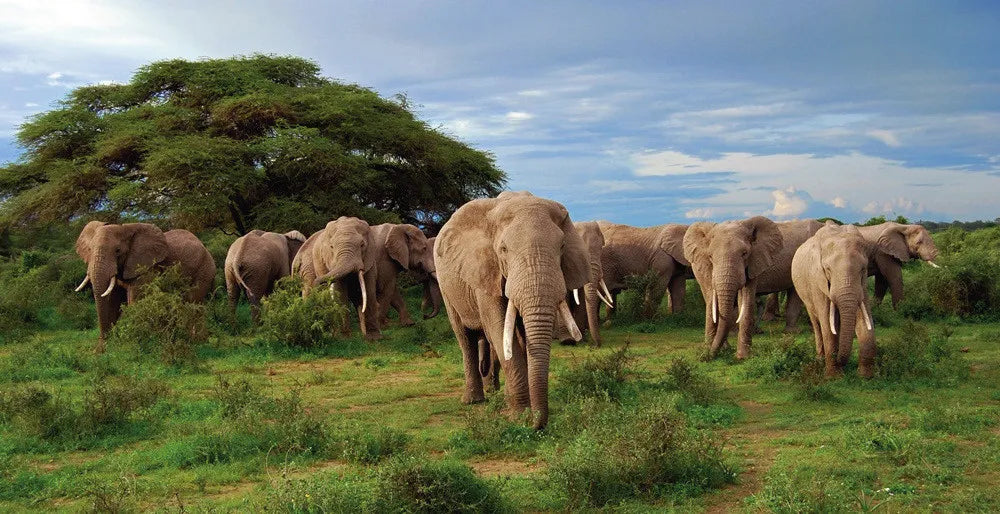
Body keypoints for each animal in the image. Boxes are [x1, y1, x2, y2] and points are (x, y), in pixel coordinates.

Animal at [74, 221, 215, 351]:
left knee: (194, 301)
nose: (100, 349)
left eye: (118, 250)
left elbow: (135, 301)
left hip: (204, 269)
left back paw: (197, 341)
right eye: (89, 250)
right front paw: (102, 350)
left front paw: (135, 345)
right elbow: (113, 302)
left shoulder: (146, 267)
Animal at [435, 191, 590, 429]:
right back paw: (473, 400)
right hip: (446, 286)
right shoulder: (486, 270)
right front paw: (519, 416)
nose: (537, 425)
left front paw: (523, 412)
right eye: (503, 250)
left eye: (562, 246)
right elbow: (499, 328)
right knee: (464, 337)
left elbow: (522, 337)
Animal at [683, 216, 784, 359]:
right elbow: (712, 300)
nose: (706, 358)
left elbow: (746, 299)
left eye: (744, 253)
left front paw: (743, 357)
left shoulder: (755, 261)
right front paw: (708, 352)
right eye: (710, 256)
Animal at [792, 224, 891, 377]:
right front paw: (834, 377)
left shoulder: (861, 285)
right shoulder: (817, 281)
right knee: (816, 323)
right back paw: (820, 361)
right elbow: (827, 323)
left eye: (863, 269)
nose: (841, 361)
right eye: (827, 269)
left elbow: (864, 317)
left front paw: (866, 376)